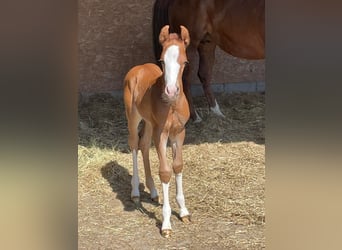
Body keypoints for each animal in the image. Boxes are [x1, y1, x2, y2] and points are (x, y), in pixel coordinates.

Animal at [123, 25, 192, 238]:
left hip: (149, 122)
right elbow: (165, 171)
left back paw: (153, 192)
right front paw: (166, 224)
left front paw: (184, 212)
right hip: (133, 116)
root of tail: (137, 69)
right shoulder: (161, 133)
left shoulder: (179, 132)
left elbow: (177, 166)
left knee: (144, 145)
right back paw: (136, 192)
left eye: (185, 61)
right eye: (162, 60)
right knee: (134, 144)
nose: (171, 91)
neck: (172, 105)